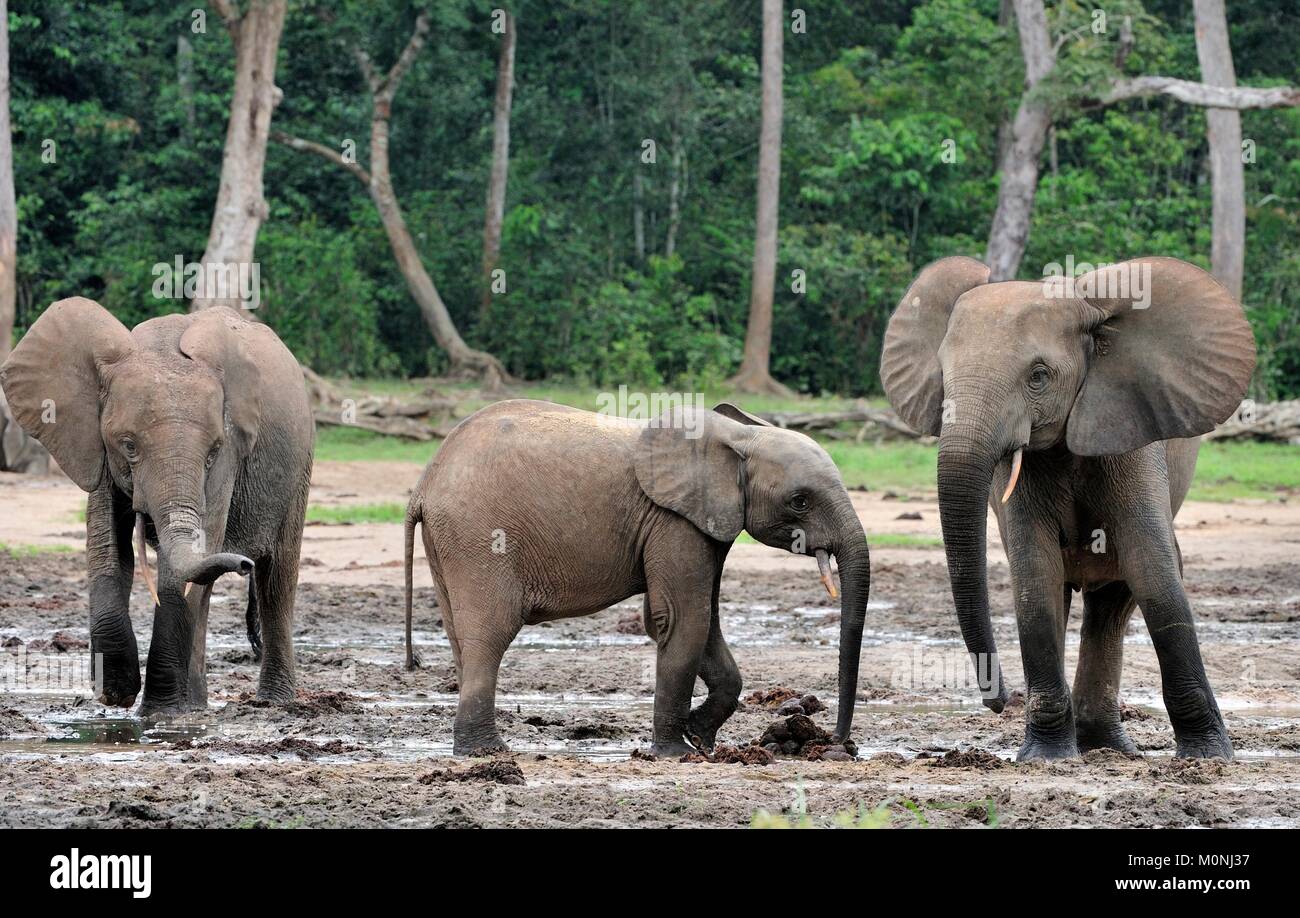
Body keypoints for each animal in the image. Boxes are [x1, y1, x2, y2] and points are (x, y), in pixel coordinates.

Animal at [0, 298, 315, 715]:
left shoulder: (228, 458)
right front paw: (117, 694)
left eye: (213, 451)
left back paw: (270, 702)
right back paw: (196, 706)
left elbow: (185, 563)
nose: (242, 562)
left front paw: (159, 713)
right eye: (128, 445)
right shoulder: (97, 448)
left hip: (300, 465)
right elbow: (107, 549)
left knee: (276, 579)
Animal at [403, 399, 871, 756]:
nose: (837, 742)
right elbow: (682, 619)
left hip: (449, 541)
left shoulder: (704, 522)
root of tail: (424, 484)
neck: (739, 439)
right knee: (491, 632)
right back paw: (486, 752)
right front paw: (676, 753)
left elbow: (702, 620)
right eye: (800, 501)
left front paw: (700, 738)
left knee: (460, 635)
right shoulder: (672, 520)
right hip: (479, 535)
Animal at [880, 256, 1255, 761]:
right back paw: (1093, 745)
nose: (998, 701)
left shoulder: (1130, 430)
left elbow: (1155, 575)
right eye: (942, 375)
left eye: (1038, 376)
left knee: (1116, 595)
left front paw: (1209, 756)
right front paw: (1046, 757)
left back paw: (1108, 747)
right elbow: (1035, 583)